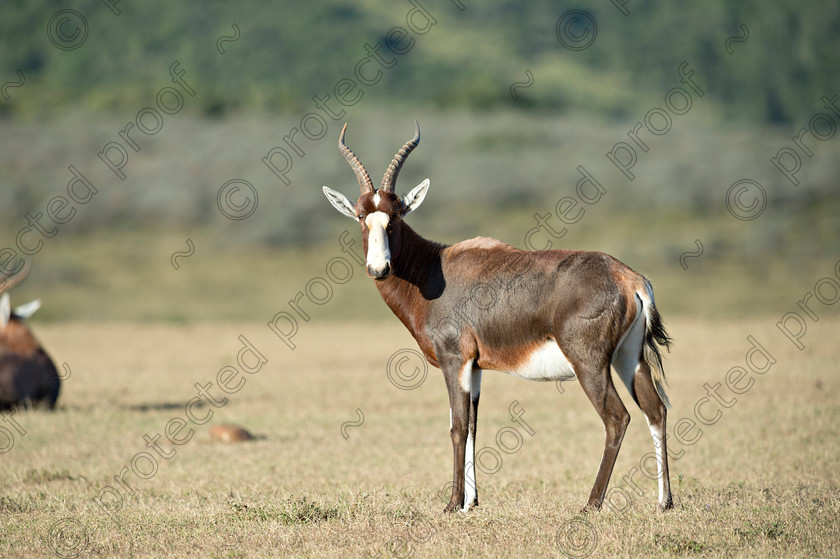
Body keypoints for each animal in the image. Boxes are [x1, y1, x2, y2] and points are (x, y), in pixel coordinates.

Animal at [324, 124, 676, 516]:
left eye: (396, 215)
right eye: (361, 216)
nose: (379, 268)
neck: (435, 268)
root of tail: (629, 278)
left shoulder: (454, 360)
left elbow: (457, 427)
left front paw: (452, 504)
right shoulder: (475, 367)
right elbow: (474, 426)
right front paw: (471, 503)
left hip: (590, 364)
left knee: (617, 419)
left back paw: (591, 504)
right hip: (629, 359)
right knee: (656, 410)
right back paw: (664, 502)